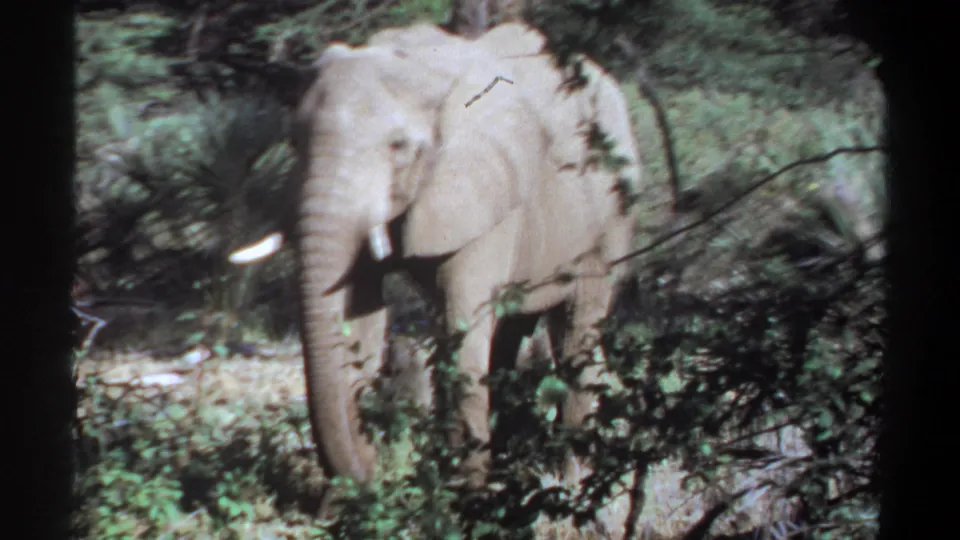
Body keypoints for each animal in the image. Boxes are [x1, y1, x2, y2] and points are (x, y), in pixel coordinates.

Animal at [230, 22, 642, 491]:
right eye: (294, 141)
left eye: (399, 147)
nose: (372, 472)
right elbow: (361, 317)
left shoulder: (488, 198)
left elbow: (460, 325)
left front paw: (464, 495)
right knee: (512, 332)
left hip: (612, 220)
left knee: (577, 333)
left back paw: (571, 482)